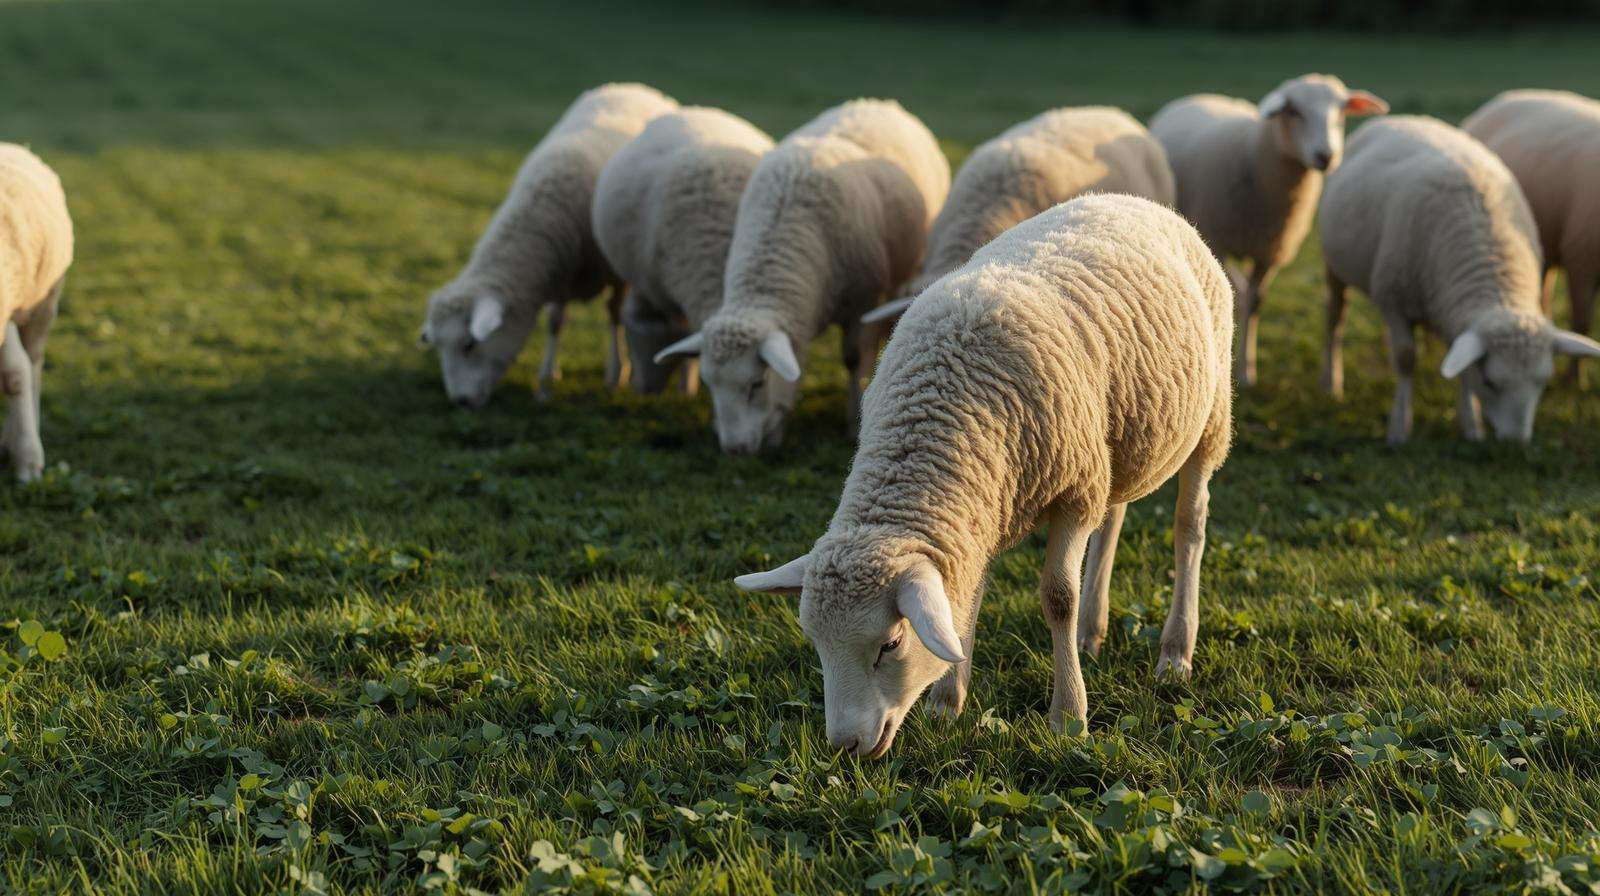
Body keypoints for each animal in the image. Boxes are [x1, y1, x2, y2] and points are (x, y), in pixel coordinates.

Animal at [419, 82, 678, 407]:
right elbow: (555, 322)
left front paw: (616, 373)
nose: (460, 401)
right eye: (439, 347)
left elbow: (614, 315)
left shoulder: (615, 274)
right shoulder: (559, 272)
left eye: (468, 344)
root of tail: (633, 86)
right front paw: (545, 383)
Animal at [652, 99, 950, 454]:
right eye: (710, 384)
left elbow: (853, 359)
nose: (735, 449)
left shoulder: (863, 301)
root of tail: (877, 102)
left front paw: (853, 423)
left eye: (757, 383)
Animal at [735, 194, 1233, 756]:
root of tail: (1133, 200)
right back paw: (1092, 631)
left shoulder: (1076, 489)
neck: (939, 401)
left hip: (1210, 420)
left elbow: (1057, 597)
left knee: (1189, 528)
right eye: (816, 644)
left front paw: (1069, 717)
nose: (844, 746)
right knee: (1114, 520)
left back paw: (1175, 650)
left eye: (890, 643)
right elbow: (964, 604)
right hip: (1123, 441)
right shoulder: (986, 509)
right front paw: (947, 704)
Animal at [1150, 74, 1388, 386]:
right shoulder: (1217, 242)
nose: (1326, 156)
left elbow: (1255, 302)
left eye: (1341, 111)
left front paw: (1247, 371)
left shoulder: (1271, 250)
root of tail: (1201, 96)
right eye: (1294, 111)